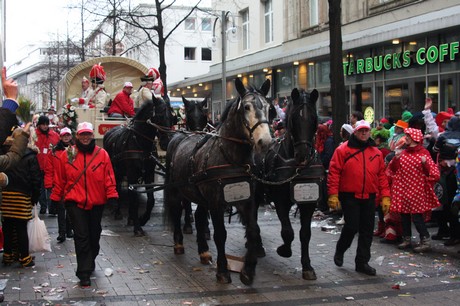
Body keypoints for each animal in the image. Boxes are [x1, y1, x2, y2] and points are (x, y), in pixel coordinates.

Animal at [103, 98, 170, 237]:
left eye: (171, 116)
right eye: (160, 116)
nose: (166, 142)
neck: (141, 144)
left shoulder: (149, 173)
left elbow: (150, 200)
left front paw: (142, 219)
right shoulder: (132, 173)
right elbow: (134, 200)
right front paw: (138, 227)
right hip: (116, 170)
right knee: (117, 188)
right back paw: (118, 212)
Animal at [165, 78, 274, 284]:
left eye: (268, 107)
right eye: (246, 107)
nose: (265, 141)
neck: (231, 157)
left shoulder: (247, 200)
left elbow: (253, 230)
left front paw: (248, 270)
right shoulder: (216, 203)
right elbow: (221, 235)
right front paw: (222, 270)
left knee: (199, 215)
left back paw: (203, 251)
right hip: (176, 190)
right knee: (176, 211)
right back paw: (178, 243)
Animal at [258, 87, 324, 280]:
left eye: (314, 119)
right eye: (294, 118)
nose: (303, 155)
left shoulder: (309, 201)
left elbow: (305, 234)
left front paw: (307, 266)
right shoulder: (280, 201)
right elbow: (288, 231)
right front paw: (284, 249)